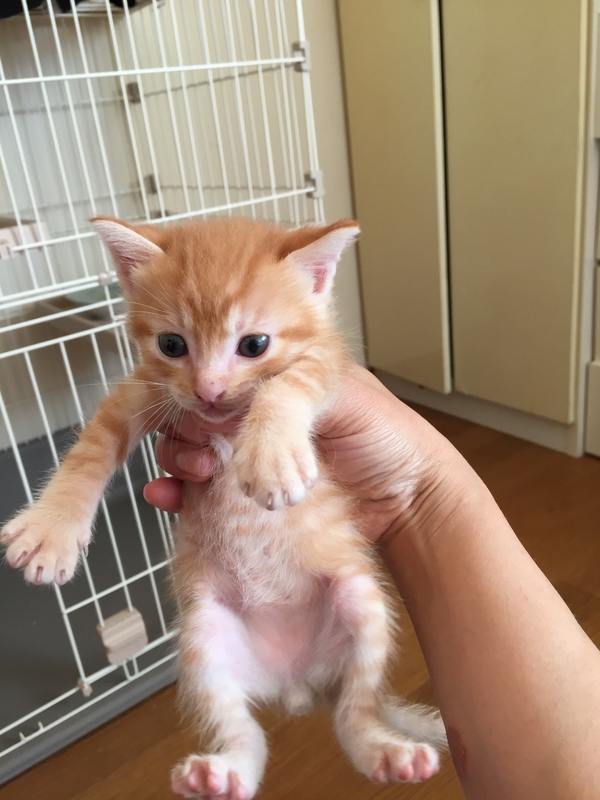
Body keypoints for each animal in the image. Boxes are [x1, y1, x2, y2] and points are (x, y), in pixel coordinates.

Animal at [1, 216, 446, 798]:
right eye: (171, 344)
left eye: (254, 344)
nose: (208, 389)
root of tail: (297, 685)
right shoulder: (145, 387)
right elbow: (93, 446)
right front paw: (51, 531)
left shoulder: (331, 361)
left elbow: (290, 381)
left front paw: (273, 454)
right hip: (205, 640)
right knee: (247, 735)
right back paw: (225, 772)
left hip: (361, 603)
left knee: (355, 710)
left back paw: (385, 751)